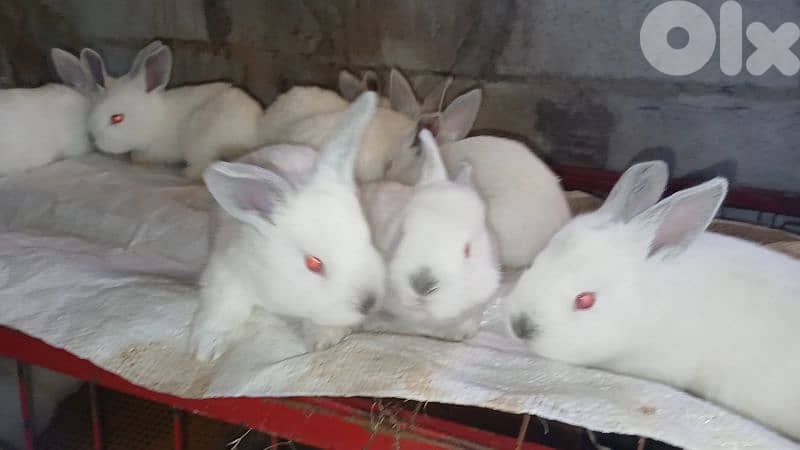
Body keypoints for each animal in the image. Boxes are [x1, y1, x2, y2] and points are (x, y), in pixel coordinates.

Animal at [86, 43, 263, 179]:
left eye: (117, 118)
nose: (96, 142)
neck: (155, 121)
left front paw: (136, 159)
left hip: (201, 139)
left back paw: (187, 173)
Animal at [190, 92, 386, 361]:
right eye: (313, 263)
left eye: (367, 237)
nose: (369, 303)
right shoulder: (226, 274)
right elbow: (220, 310)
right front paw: (207, 349)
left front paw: (325, 340)